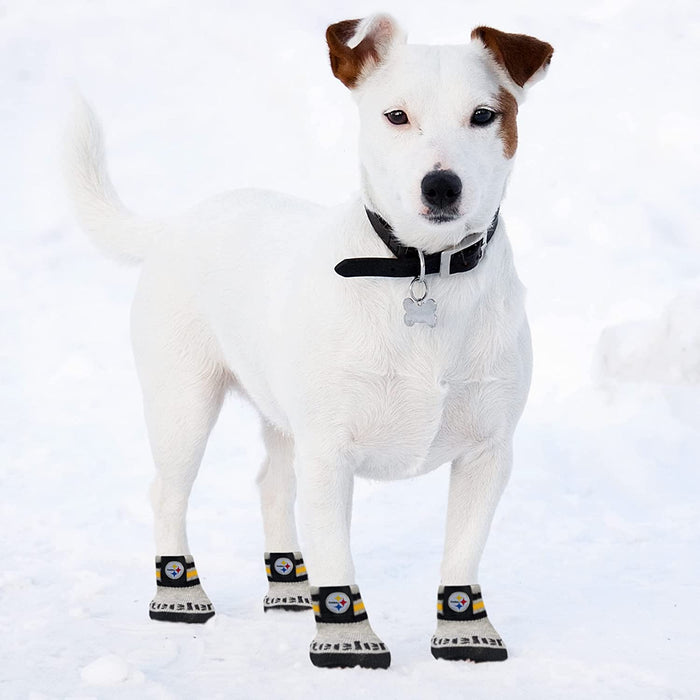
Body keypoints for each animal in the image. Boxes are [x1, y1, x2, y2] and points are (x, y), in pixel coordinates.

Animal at [68, 10, 556, 668]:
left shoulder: (488, 451)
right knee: (166, 491)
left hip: (281, 417)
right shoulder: (330, 453)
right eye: (396, 116)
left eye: (484, 115)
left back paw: (289, 586)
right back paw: (179, 594)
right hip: (183, 403)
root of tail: (175, 223)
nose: (441, 186)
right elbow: (337, 557)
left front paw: (464, 629)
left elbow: (462, 550)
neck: (421, 270)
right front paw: (346, 637)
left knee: (272, 486)